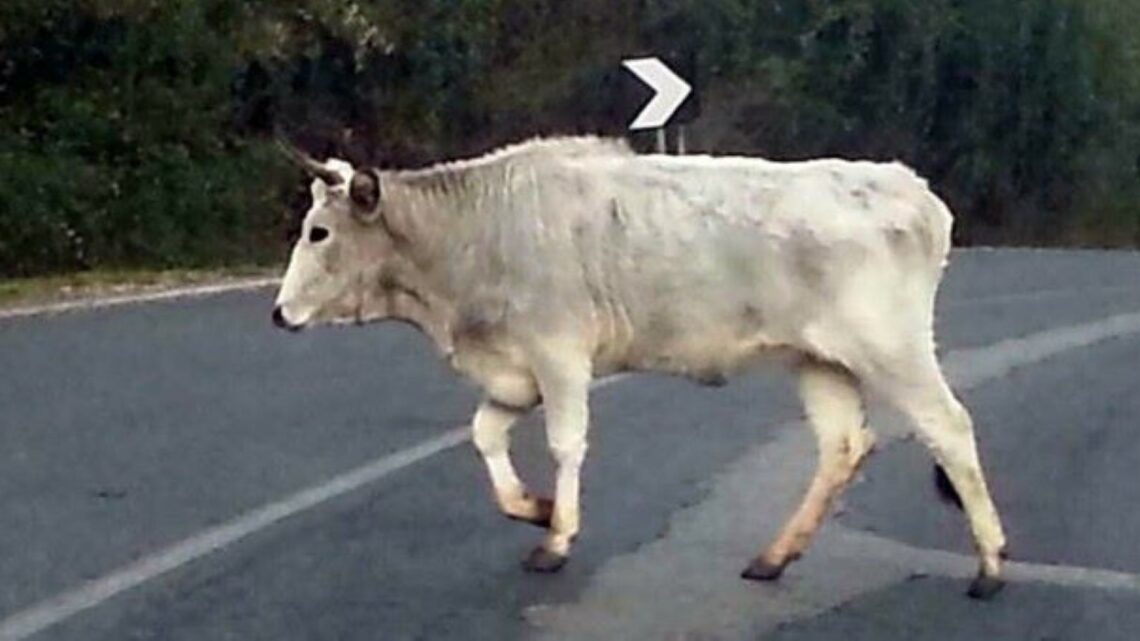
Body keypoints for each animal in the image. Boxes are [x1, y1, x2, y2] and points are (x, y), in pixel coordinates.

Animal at [271, 135, 1012, 597]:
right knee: (843, 446)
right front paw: (534, 508)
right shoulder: (515, 372)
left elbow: (566, 444)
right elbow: (485, 436)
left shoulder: (559, 355)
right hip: (820, 360)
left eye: (319, 232)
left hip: (892, 348)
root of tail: (905, 184)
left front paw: (556, 538)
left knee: (949, 427)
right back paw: (774, 557)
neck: (475, 235)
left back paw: (990, 564)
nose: (278, 313)